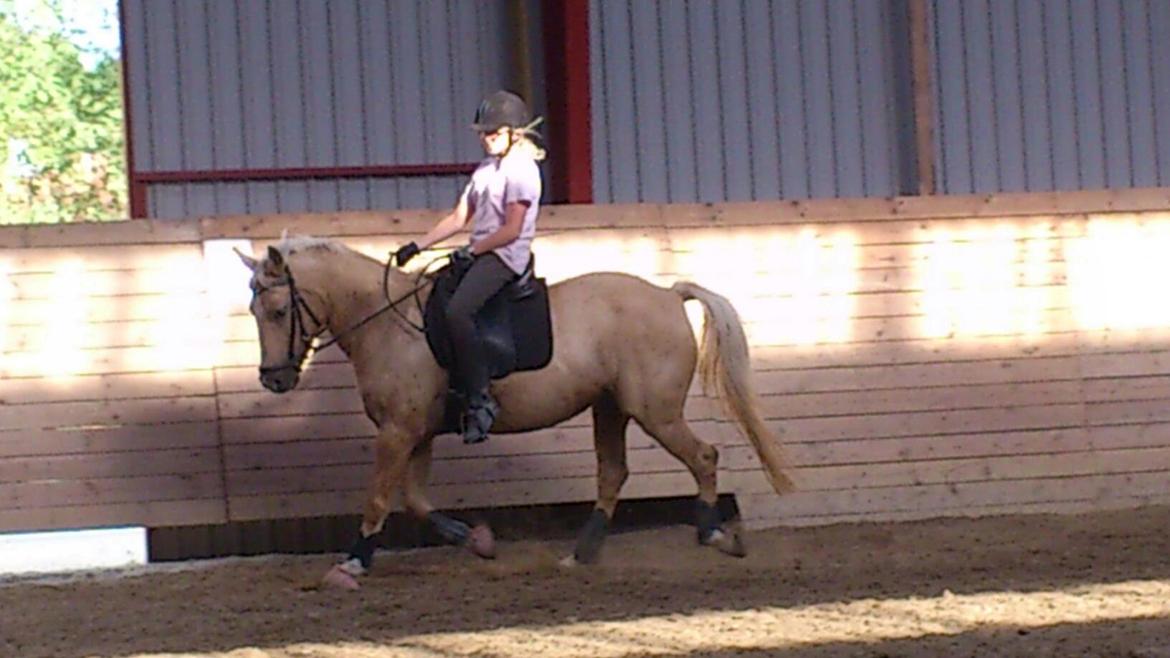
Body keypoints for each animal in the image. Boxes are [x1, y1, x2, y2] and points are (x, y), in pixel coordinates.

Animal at [239, 234, 795, 583]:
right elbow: (416, 501)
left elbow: (378, 499)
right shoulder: (416, 433)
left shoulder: (398, 431)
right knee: (613, 472)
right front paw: (476, 540)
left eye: (279, 310)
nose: (274, 379)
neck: (387, 323)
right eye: (253, 310)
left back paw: (714, 533)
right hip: (610, 406)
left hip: (654, 410)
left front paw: (352, 564)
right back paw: (581, 553)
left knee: (703, 456)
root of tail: (667, 292)